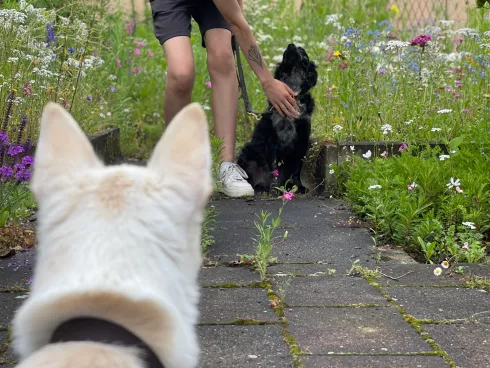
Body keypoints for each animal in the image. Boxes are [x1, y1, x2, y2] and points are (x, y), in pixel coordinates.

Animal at [236, 43, 318, 194]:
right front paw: (272, 186)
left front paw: (297, 186)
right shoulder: (272, 138)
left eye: (302, 50)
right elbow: (273, 166)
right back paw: (260, 185)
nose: (291, 44)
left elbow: (296, 169)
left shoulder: (302, 138)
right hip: (249, 151)